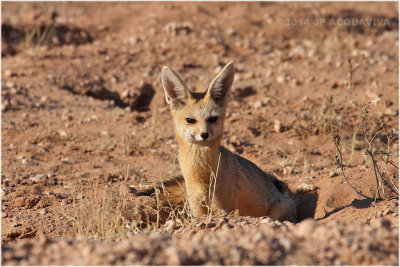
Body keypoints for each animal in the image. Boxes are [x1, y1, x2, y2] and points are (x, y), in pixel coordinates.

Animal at [138, 61, 296, 223]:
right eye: (190, 120)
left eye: (212, 119)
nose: (204, 134)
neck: (201, 175)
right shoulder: (197, 207)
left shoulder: (222, 208)